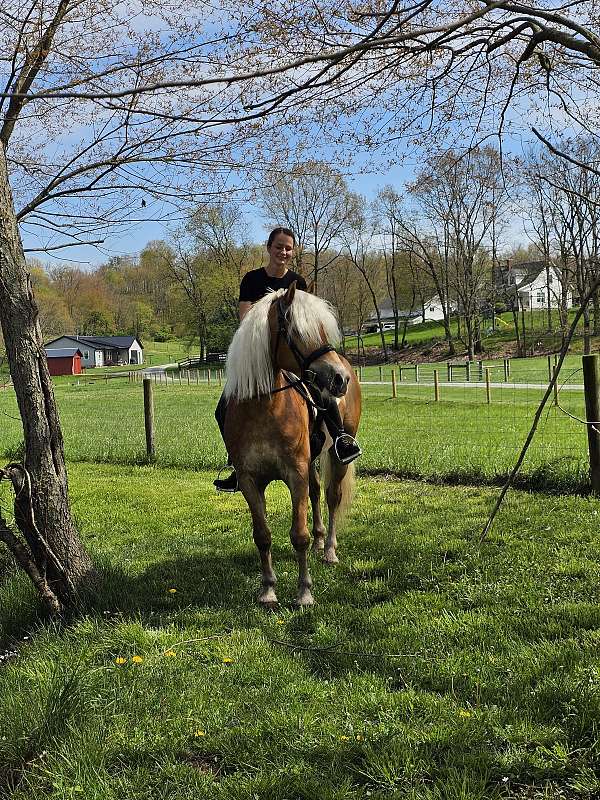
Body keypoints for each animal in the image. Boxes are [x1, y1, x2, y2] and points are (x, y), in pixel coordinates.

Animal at [221, 282, 358, 608]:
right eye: (296, 331)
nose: (340, 378)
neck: (264, 408)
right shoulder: (250, 480)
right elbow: (262, 535)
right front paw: (268, 589)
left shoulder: (294, 474)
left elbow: (299, 535)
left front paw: (304, 592)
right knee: (317, 492)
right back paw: (321, 540)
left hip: (337, 454)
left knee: (332, 497)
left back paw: (329, 550)